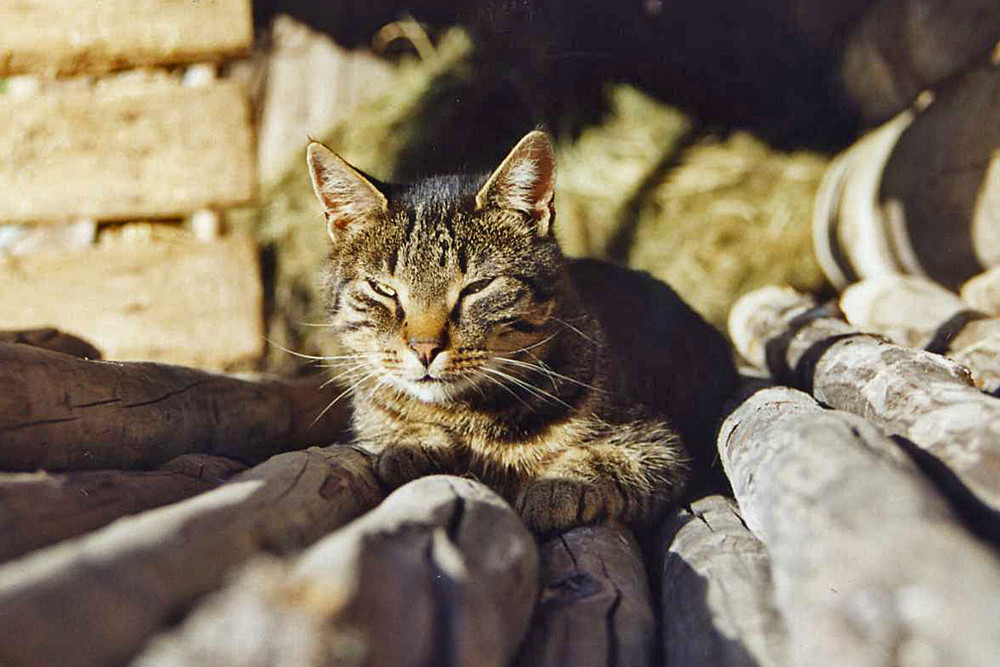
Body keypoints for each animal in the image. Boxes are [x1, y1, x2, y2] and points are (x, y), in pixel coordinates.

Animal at [304, 130, 736, 536]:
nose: (424, 349)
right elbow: (389, 430)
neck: (467, 418)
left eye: (476, 288)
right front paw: (410, 443)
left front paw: (557, 488)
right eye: (384, 289)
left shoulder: (659, 441)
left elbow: (600, 459)